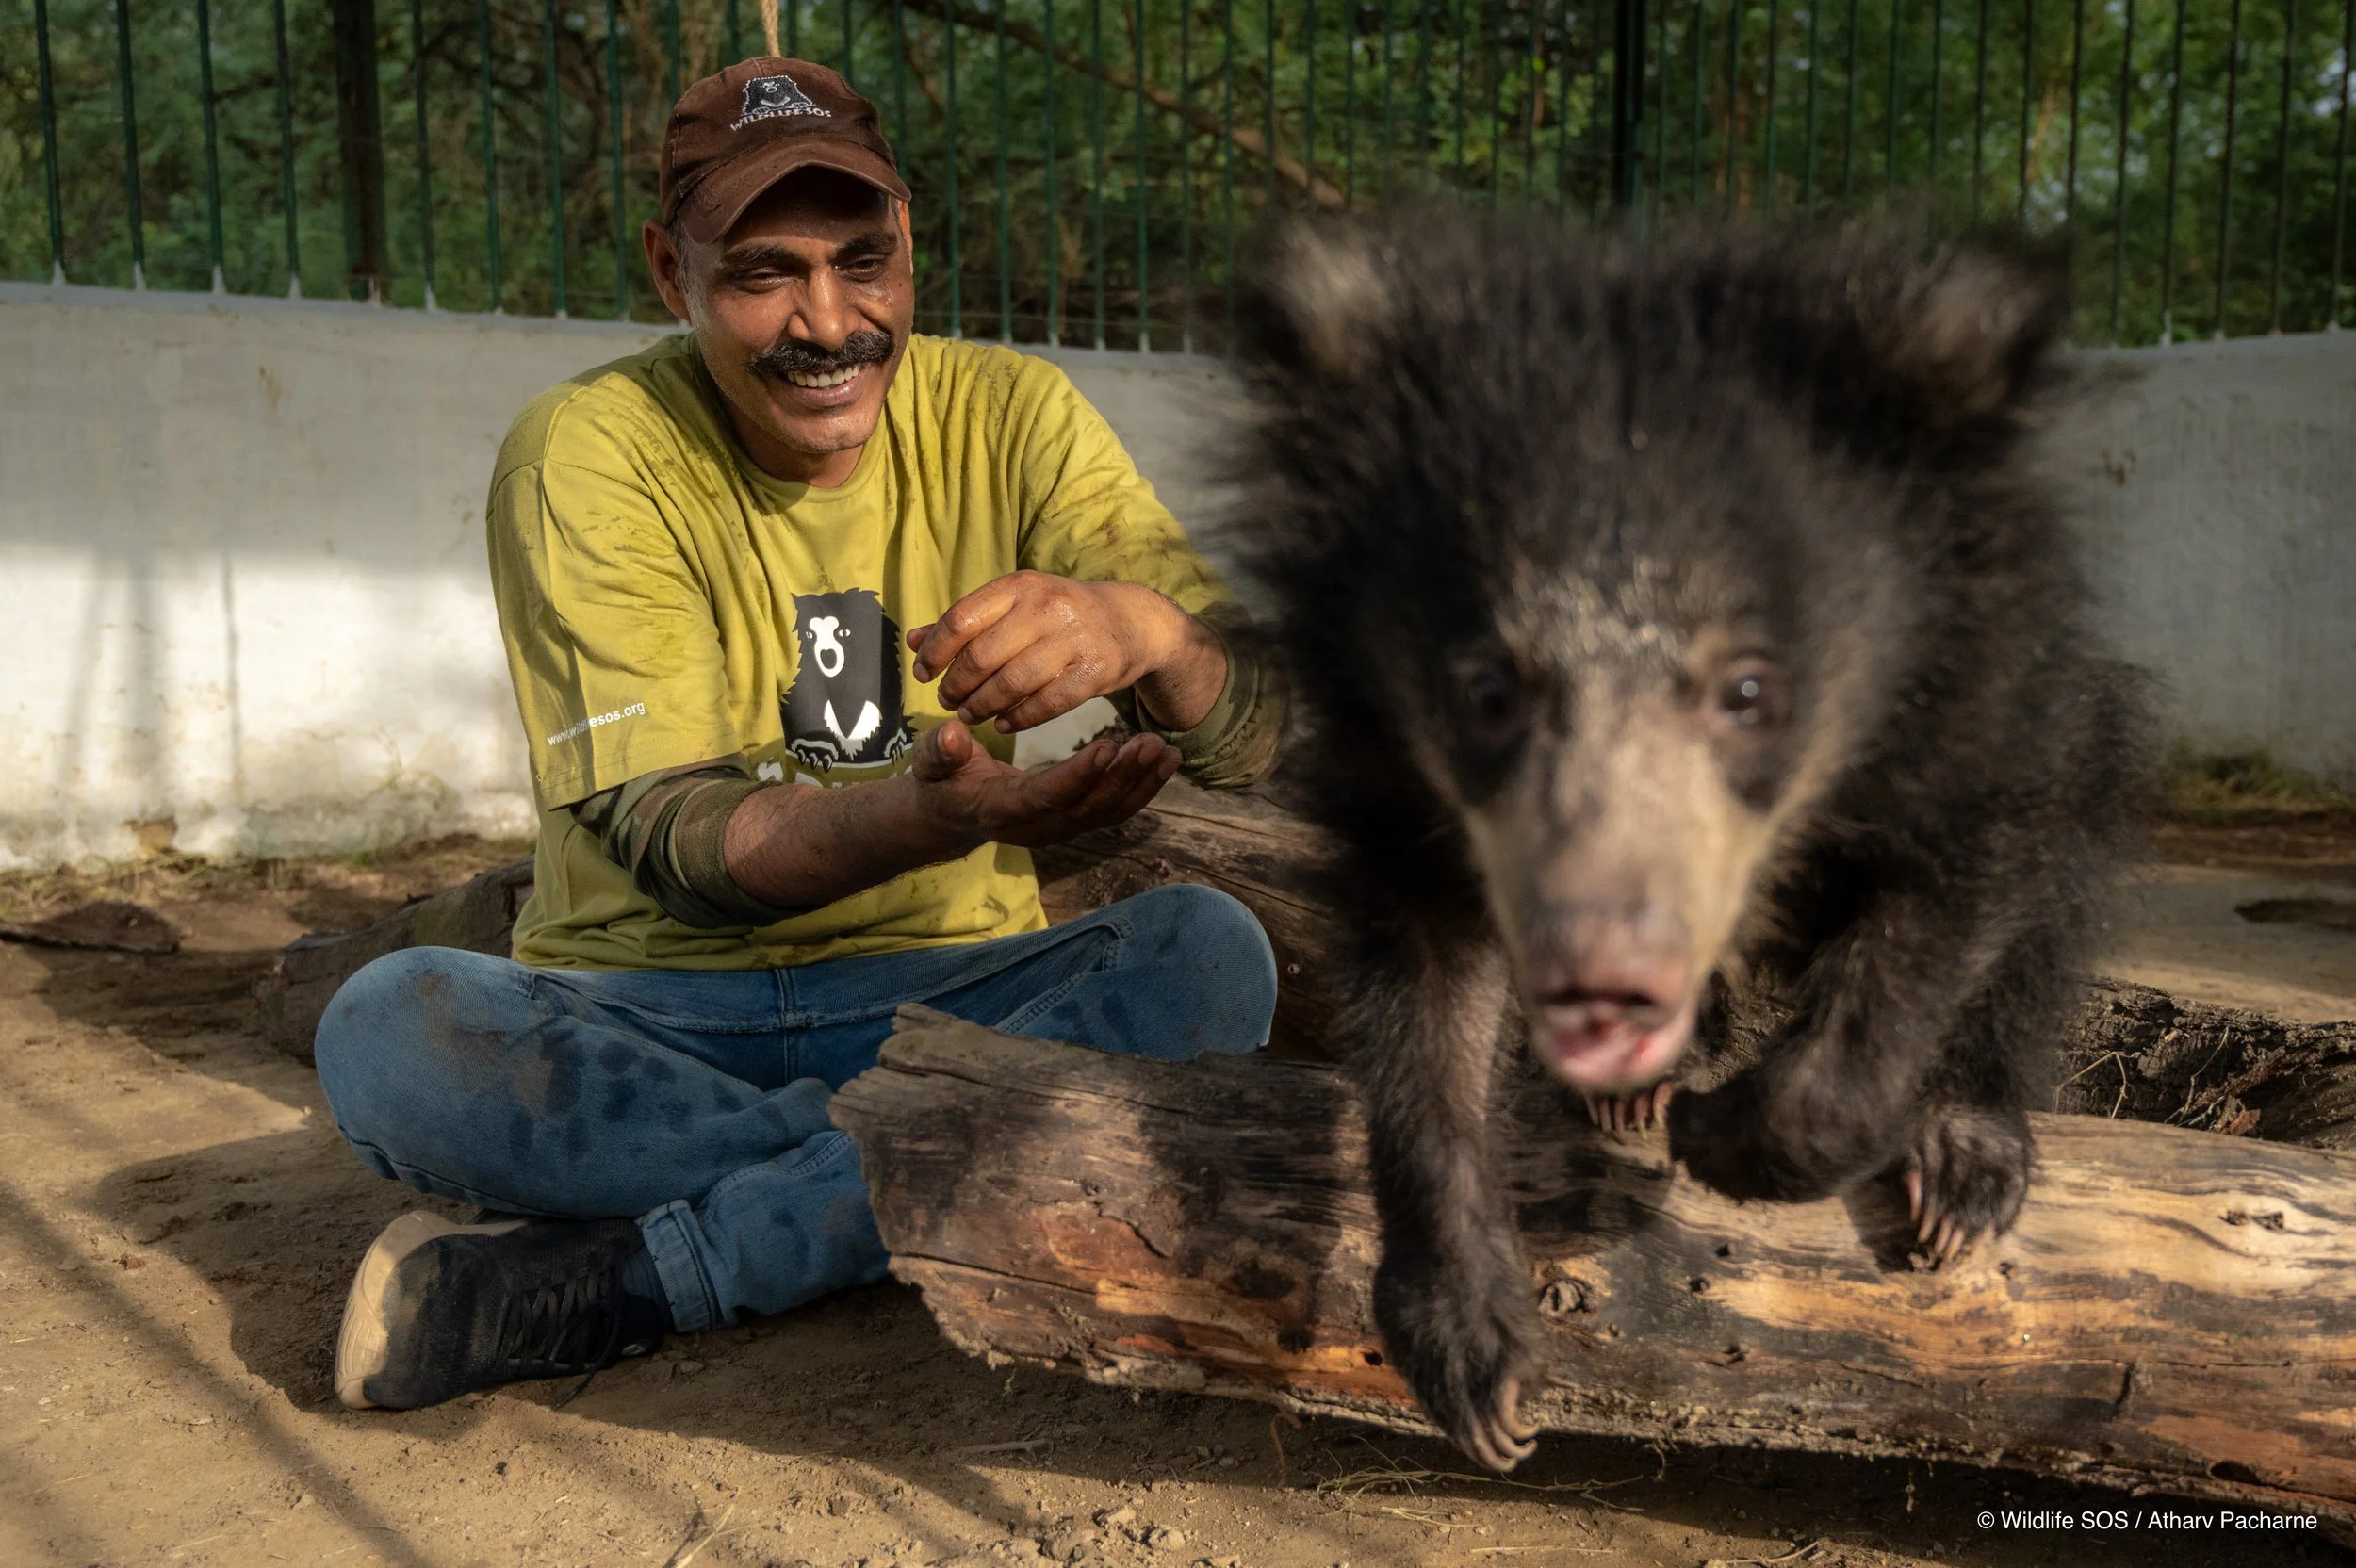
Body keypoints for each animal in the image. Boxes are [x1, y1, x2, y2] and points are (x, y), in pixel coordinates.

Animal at [1228, 213, 2153, 1472]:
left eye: (1749, 690)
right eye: (1486, 690)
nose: (1600, 976)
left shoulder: (1986, 696)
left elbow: (1954, 890)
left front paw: (1724, 1135)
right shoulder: (1396, 771)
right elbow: (1425, 987)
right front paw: (1472, 1352)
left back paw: (1961, 1162)